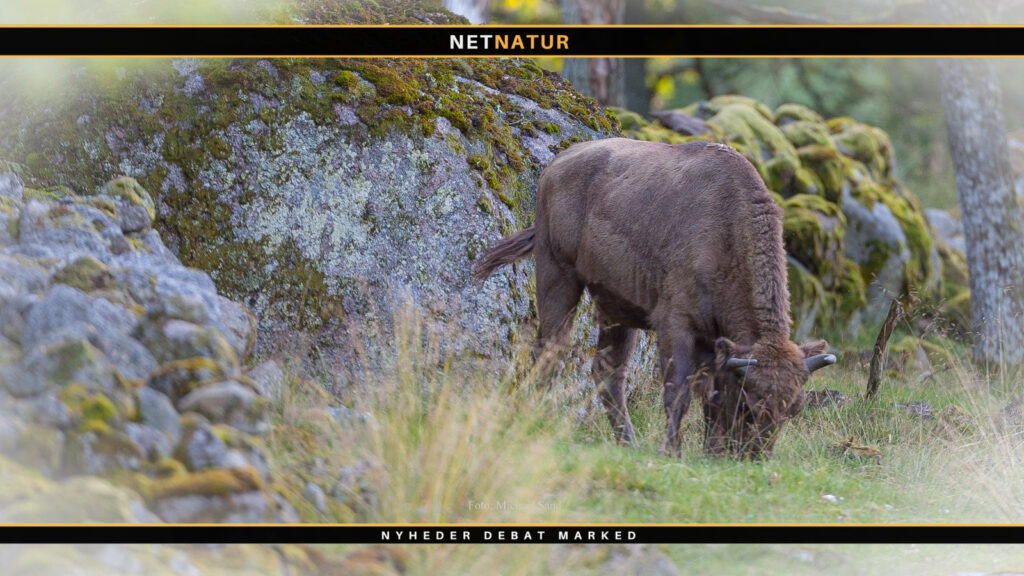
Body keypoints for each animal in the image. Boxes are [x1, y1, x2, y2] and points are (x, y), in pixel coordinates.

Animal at [474, 138, 835, 458]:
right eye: (748, 403)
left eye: (795, 408)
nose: (755, 456)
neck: (726, 233)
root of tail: (556, 164)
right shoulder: (675, 324)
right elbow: (678, 392)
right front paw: (672, 451)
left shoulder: (716, 341)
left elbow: (712, 397)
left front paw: (711, 452)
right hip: (558, 276)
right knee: (551, 351)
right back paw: (536, 421)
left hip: (616, 310)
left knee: (608, 373)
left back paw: (627, 441)